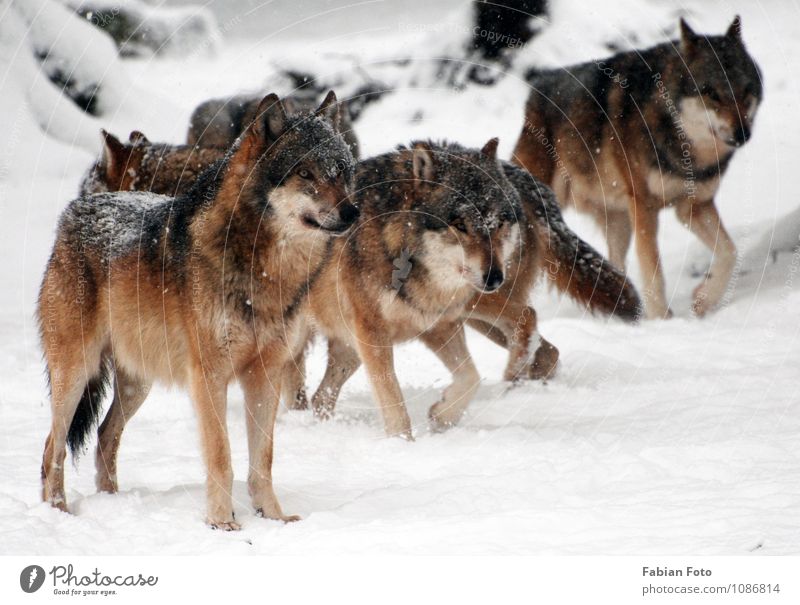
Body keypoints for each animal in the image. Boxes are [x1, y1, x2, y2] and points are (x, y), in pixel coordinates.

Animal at [37, 91, 356, 528]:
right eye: (305, 174)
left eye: (341, 172)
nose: (353, 212)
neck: (263, 268)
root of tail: (76, 209)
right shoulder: (209, 376)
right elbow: (221, 455)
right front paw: (222, 522)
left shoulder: (266, 375)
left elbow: (264, 459)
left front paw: (273, 516)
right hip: (76, 372)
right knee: (52, 446)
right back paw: (59, 511)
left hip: (137, 383)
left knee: (105, 436)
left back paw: (114, 504)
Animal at [512, 16, 764, 318]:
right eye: (712, 93)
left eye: (746, 91)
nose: (743, 134)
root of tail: (535, 89)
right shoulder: (644, 207)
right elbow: (653, 270)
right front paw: (662, 319)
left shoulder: (694, 206)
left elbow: (730, 253)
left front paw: (703, 299)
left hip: (618, 224)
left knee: (615, 267)